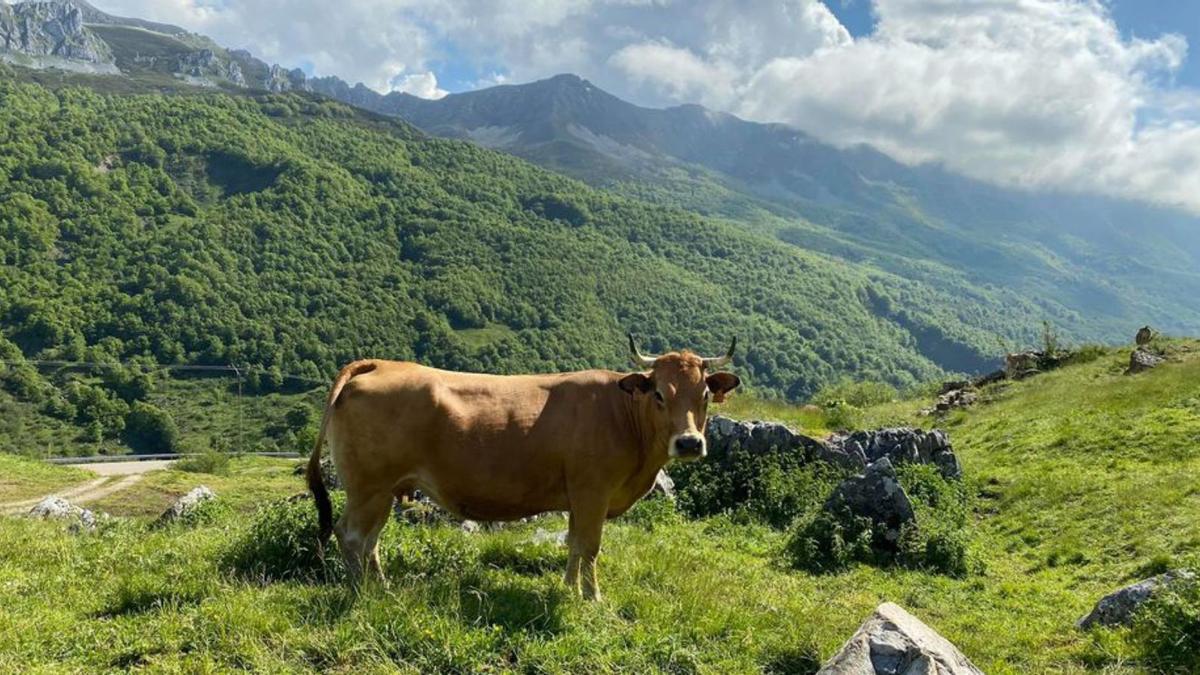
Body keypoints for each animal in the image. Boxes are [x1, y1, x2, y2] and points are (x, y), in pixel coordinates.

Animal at [307, 333, 739, 595]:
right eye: (659, 395)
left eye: (704, 394)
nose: (689, 442)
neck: (622, 413)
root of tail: (380, 364)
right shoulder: (593, 491)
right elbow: (590, 547)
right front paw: (593, 597)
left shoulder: (577, 497)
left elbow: (574, 545)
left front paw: (569, 589)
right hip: (369, 487)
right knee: (352, 536)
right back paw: (362, 593)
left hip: (385, 489)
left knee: (371, 540)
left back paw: (382, 587)